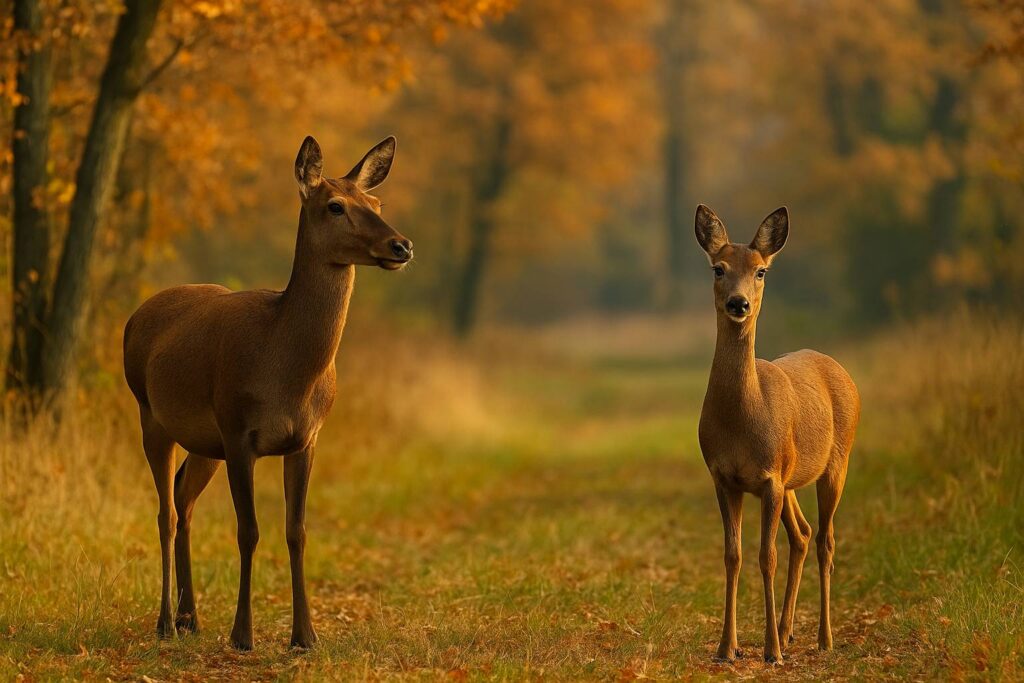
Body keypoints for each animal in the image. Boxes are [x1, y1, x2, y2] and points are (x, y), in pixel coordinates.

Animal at [123, 135, 413, 650]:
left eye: (377, 203)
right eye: (335, 206)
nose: (401, 245)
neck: (288, 374)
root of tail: (133, 319)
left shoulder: (305, 438)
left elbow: (296, 531)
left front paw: (305, 635)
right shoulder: (239, 431)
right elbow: (249, 530)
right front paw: (243, 634)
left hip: (205, 442)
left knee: (183, 496)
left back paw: (191, 617)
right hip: (150, 411)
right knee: (166, 512)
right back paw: (165, 622)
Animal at [694, 205, 860, 664]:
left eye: (761, 270)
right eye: (718, 268)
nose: (739, 302)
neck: (741, 421)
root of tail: (839, 368)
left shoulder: (769, 478)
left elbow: (765, 556)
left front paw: (768, 651)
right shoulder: (724, 478)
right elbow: (732, 555)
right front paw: (727, 647)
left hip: (835, 464)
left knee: (825, 540)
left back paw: (823, 638)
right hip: (791, 480)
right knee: (802, 535)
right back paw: (787, 632)